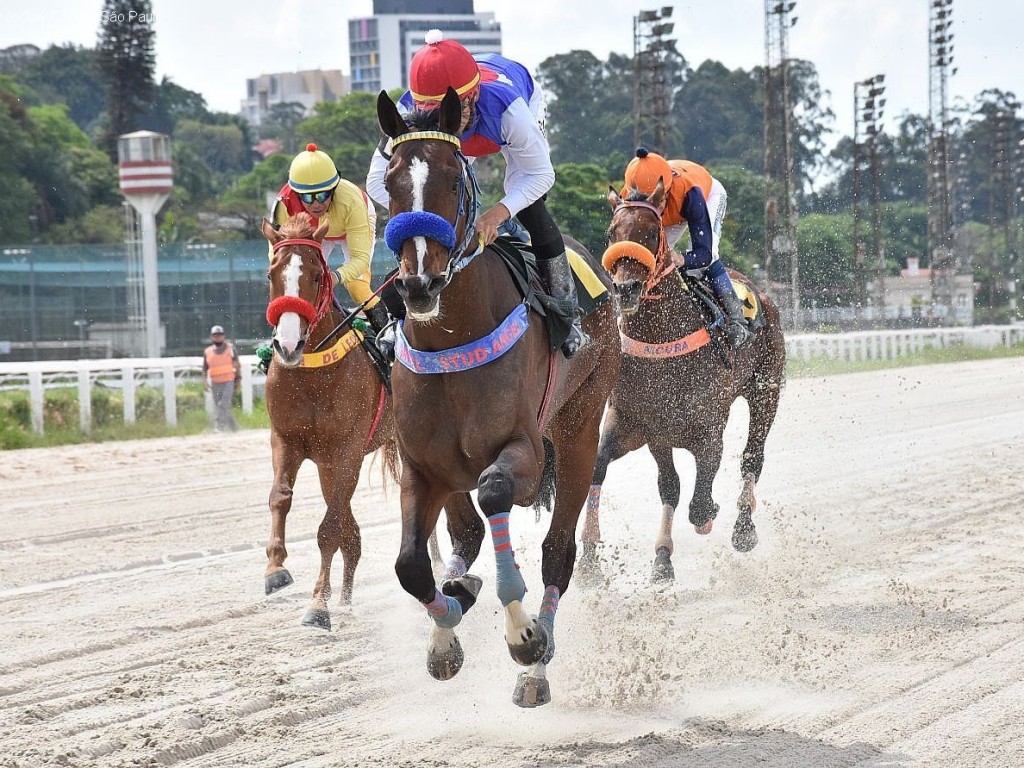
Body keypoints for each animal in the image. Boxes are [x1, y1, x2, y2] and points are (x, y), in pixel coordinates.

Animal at [262, 215, 466, 630]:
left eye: (315, 275)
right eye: (272, 274)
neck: (311, 375)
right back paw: (346, 596)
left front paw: (317, 606)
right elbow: (282, 498)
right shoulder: (287, 441)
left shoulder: (345, 451)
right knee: (351, 530)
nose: (287, 345)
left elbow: (329, 529)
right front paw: (276, 569)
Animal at [374, 88, 618, 708]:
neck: (451, 337)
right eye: (390, 180)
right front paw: (446, 628)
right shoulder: (422, 465)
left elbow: (498, 492)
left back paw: (537, 667)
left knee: (558, 550)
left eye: (452, 180)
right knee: (466, 533)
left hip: (579, 430)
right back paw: (459, 593)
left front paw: (523, 636)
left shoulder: (522, 450)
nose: (418, 283)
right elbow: (411, 564)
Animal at [581, 188, 786, 581]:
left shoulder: (709, 429)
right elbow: (666, 487)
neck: (662, 344)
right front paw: (655, 559)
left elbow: (700, 502)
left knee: (752, 456)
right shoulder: (646, 427)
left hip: (765, 391)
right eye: (612, 233)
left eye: (651, 232)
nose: (625, 289)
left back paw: (744, 529)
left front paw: (709, 517)